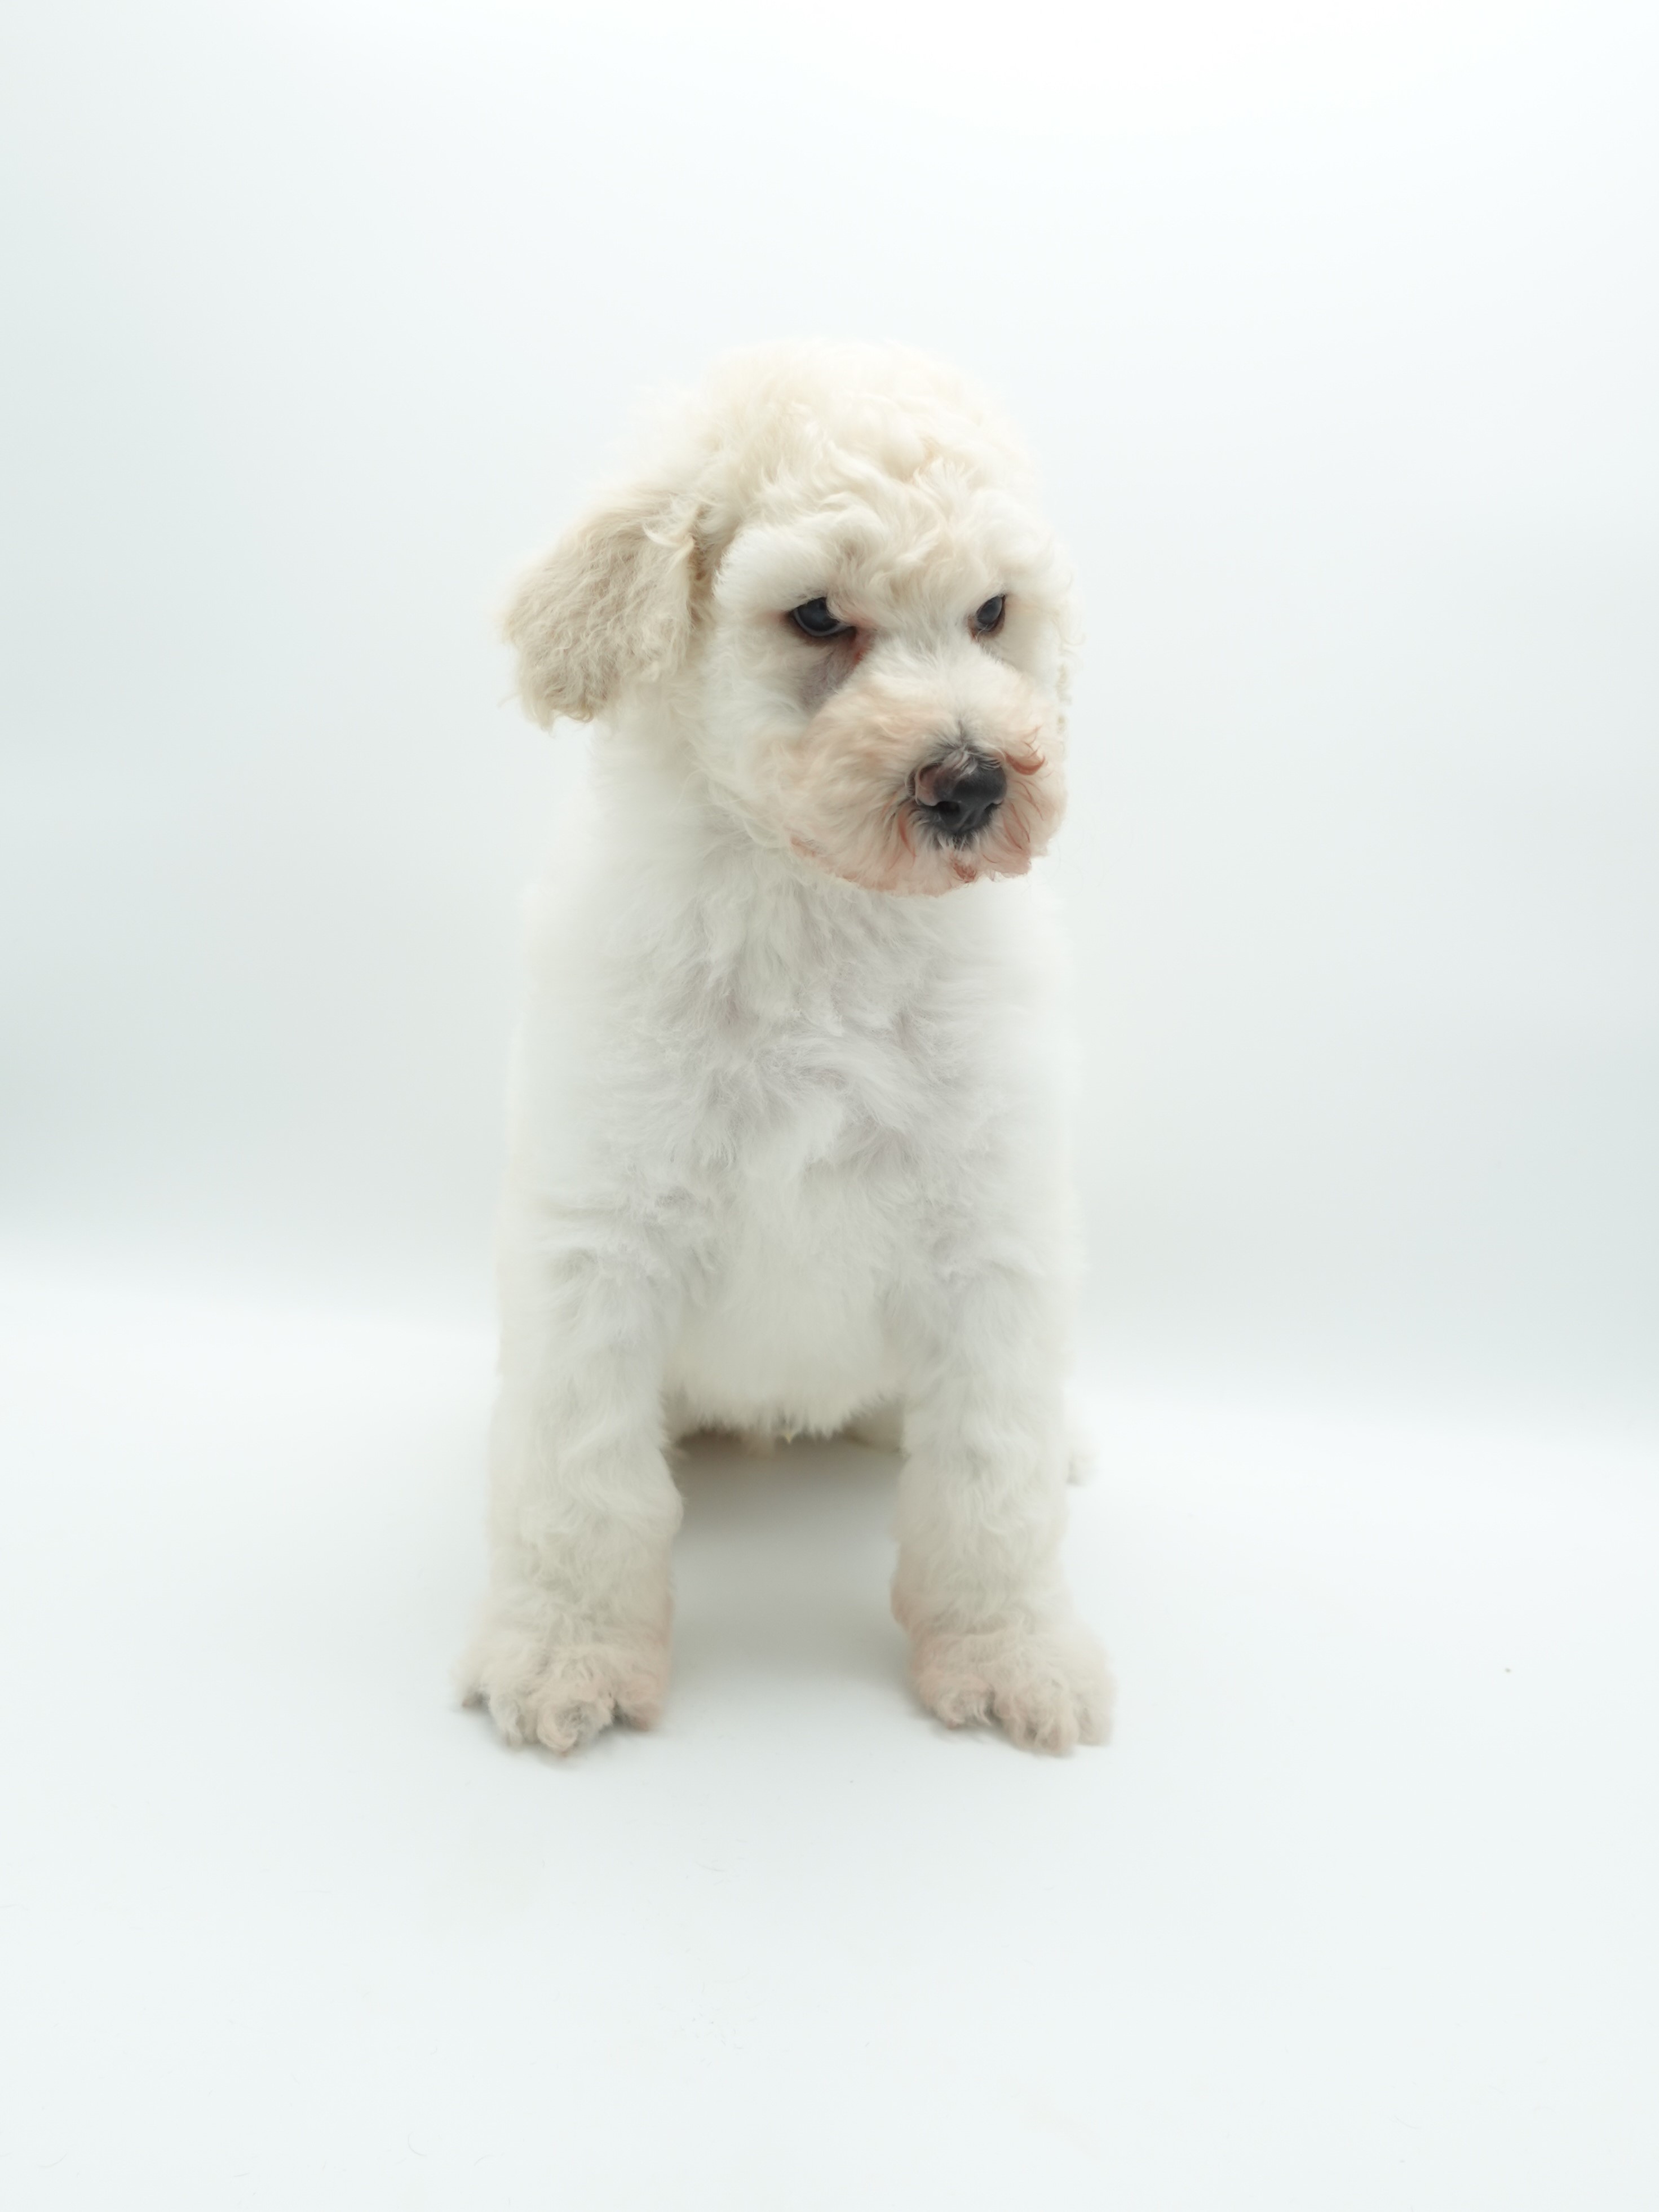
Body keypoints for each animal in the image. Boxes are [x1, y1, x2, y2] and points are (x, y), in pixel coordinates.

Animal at [460, 343, 1110, 1754]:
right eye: (817, 618)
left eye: (991, 614)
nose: (975, 782)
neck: (819, 909)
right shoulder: (599, 1244)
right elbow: (580, 1482)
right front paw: (564, 1651)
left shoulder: (988, 1242)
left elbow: (990, 1481)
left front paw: (1011, 1651)